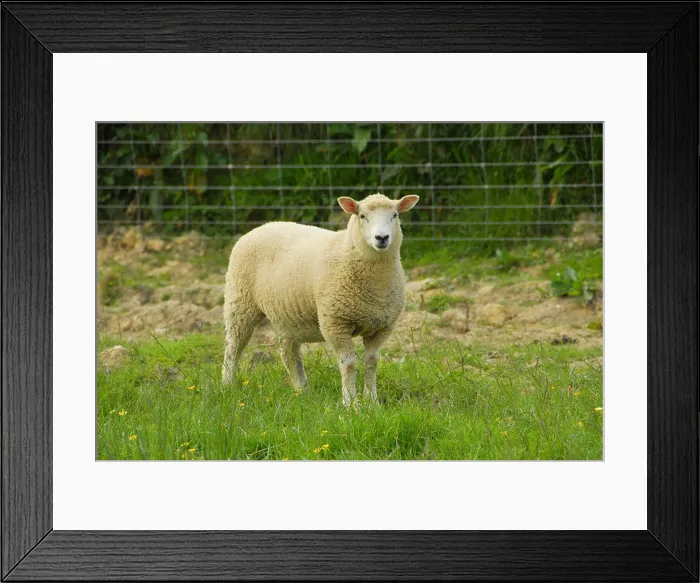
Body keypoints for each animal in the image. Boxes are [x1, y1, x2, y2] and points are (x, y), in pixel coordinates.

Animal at [221, 192, 419, 407]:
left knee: (289, 353)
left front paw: (372, 401)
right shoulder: (335, 323)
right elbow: (349, 365)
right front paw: (349, 403)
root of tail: (260, 227)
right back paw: (227, 385)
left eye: (394, 215)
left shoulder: (382, 326)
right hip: (240, 302)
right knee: (233, 348)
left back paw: (302, 390)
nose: (382, 238)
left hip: (287, 315)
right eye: (362, 216)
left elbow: (371, 363)